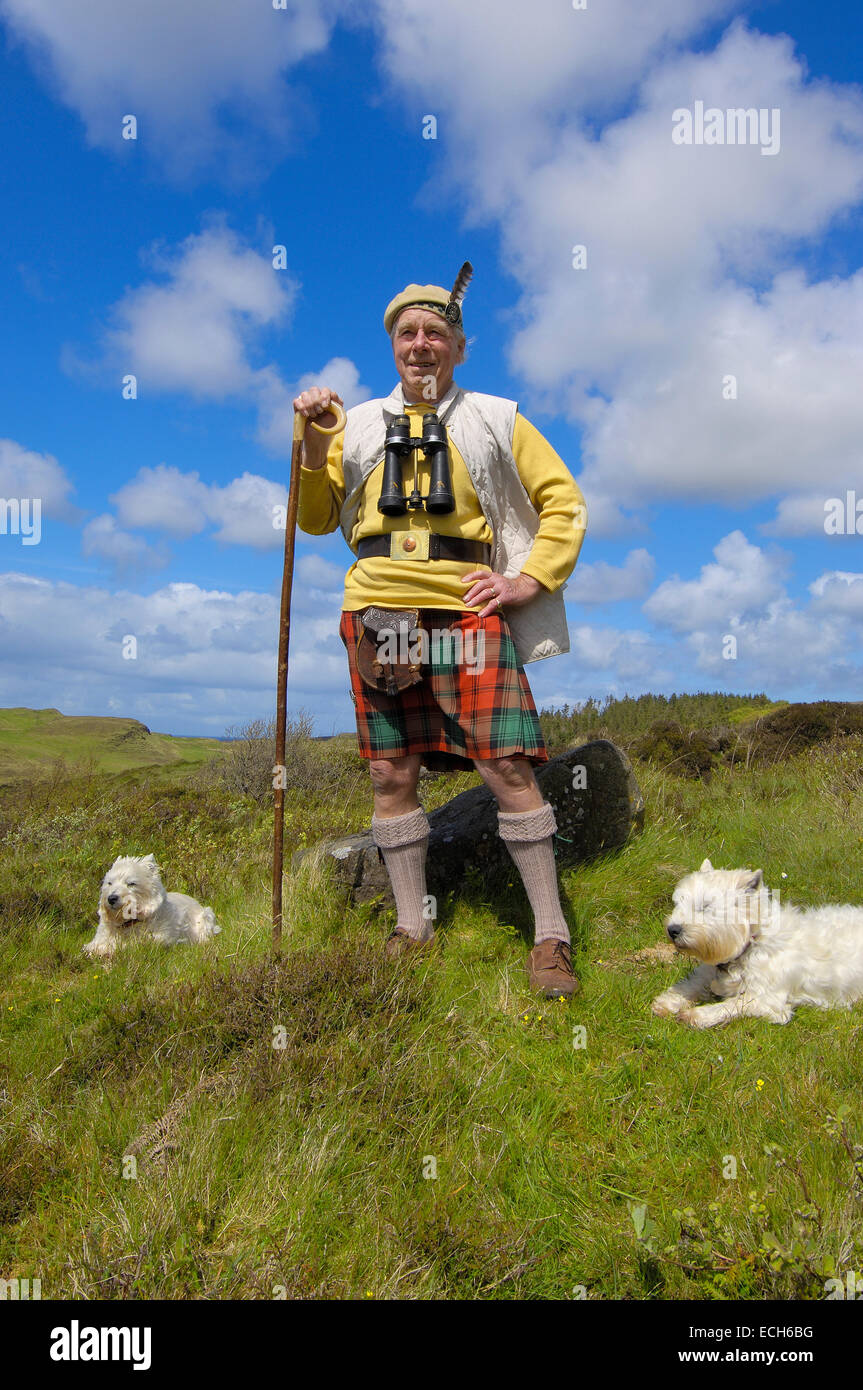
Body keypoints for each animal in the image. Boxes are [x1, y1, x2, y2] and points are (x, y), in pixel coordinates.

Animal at [83, 850, 222, 961]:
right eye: (109, 883)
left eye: (131, 883)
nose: (111, 898)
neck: (128, 924)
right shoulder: (99, 941)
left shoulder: (158, 939)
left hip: (205, 919)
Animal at [650, 856, 861, 1034]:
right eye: (678, 903)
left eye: (705, 906)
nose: (672, 930)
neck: (751, 942)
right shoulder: (709, 973)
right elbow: (691, 985)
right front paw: (667, 1002)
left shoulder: (767, 999)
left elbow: (732, 1004)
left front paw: (696, 1015)